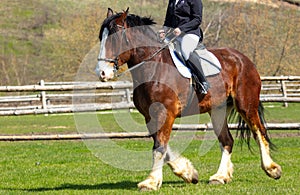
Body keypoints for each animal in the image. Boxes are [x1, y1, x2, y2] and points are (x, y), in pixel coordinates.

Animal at [95, 8, 282, 191]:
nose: (102, 73)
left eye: (115, 37)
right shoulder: (150, 116)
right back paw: (220, 177)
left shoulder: (165, 113)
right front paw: (188, 173)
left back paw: (272, 169)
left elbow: (159, 147)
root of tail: (243, 59)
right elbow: (163, 148)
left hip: (246, 105)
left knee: (259, 132)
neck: (154, 68)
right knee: (227, 141)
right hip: (218, 110)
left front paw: (150, 182)